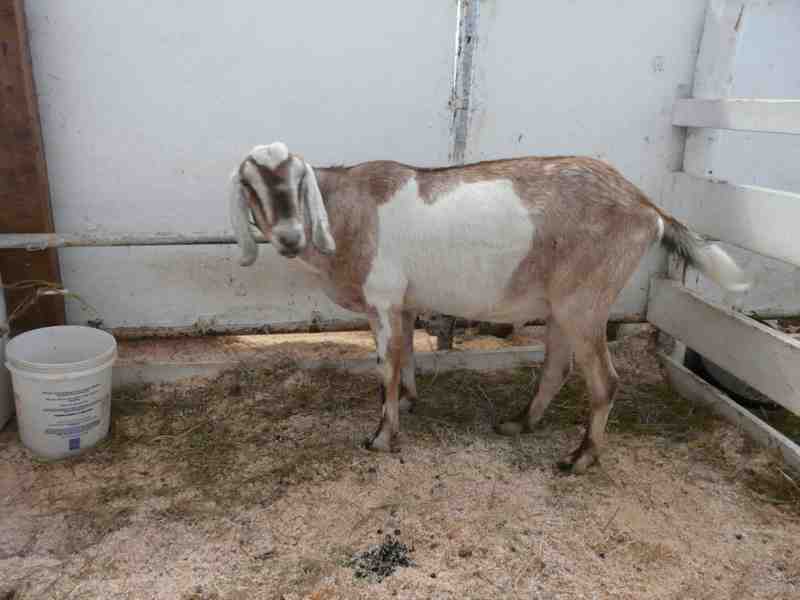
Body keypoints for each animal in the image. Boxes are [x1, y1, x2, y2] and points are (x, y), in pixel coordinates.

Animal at [229, 142, 750, 473]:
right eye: (250, 187)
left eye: (299, 182)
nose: (289, 237)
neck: (349, 214)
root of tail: (647, 207)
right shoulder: (404, 304)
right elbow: (406, 357)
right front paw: (409, 402)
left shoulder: (382, 299)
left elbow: (386, 366)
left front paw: (381, 437)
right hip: (561, 306)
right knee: (557, 367)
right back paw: (520, 422)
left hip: (585, 301)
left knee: (605, 381)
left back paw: (580, 458)